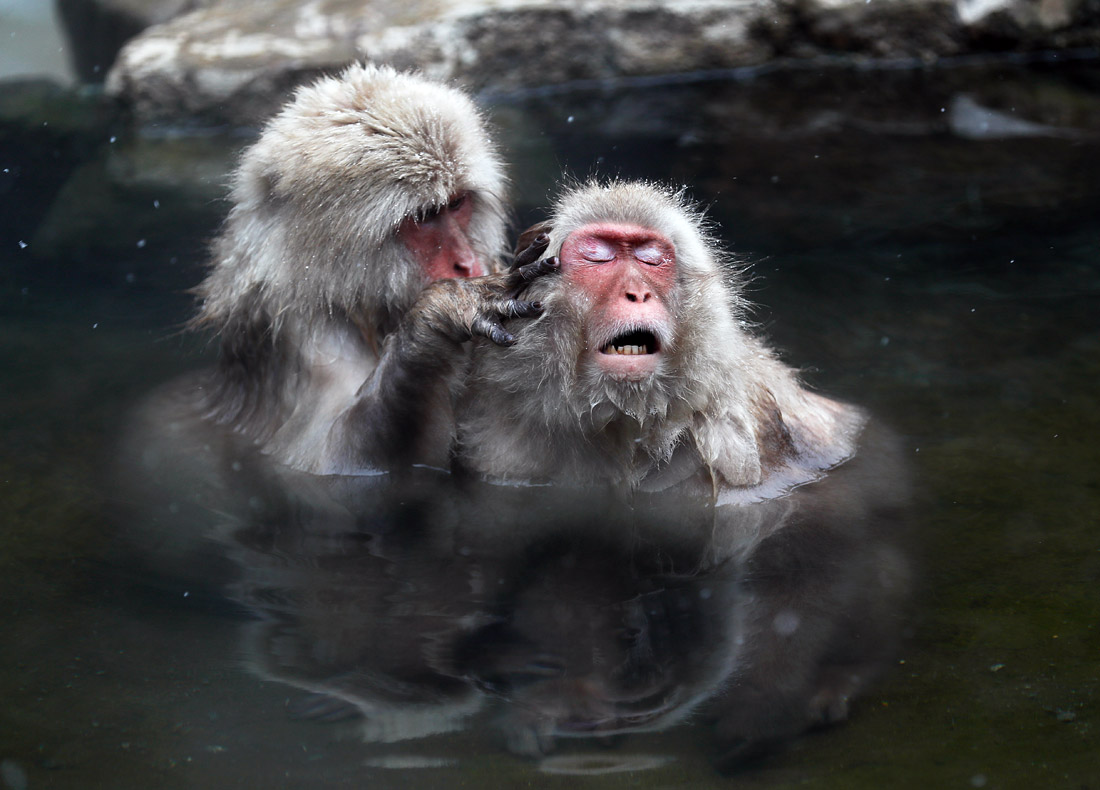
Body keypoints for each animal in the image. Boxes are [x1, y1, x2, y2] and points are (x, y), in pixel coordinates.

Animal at [187, 63, 512, 477]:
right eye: (425, 216)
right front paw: (443, 312)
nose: (467, 263)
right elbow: (339, 458)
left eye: (457, 204)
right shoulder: (308, 339)